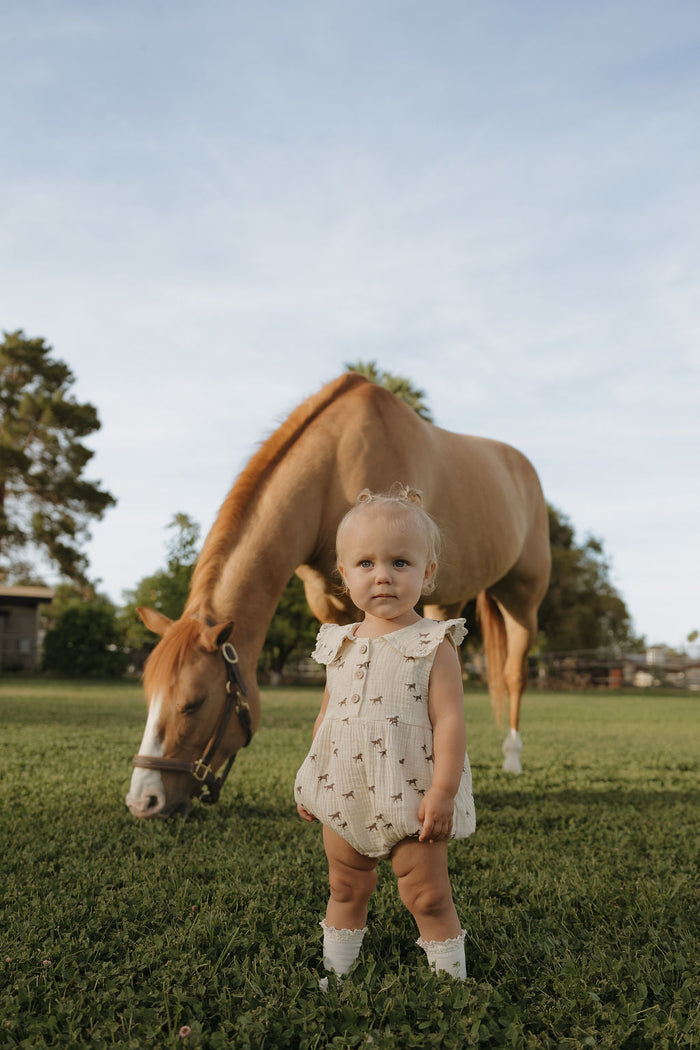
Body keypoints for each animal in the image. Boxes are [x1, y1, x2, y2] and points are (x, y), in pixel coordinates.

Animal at [126, 372, 550, 818]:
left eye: (194, 703)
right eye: (149, 697)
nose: (143, 800)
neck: (334, 469)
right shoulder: (327, 603)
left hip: (522, 602)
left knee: (515, 674)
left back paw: (512, 756)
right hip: (446, 600)